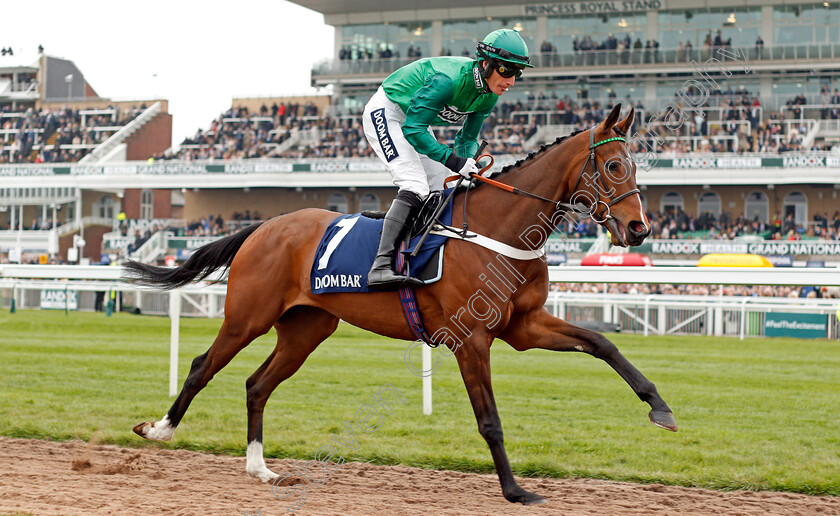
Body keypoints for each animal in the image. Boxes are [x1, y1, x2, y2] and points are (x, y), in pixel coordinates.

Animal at [126, 103, 676, 506]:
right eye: (613, 165)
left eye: (634, 165)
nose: (639, 229)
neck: (500, 228)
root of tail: (264, 226)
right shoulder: (470, 338)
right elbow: (490, 419)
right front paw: (515, 490)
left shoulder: (524, 326)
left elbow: (603, 344)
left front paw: (661, 408)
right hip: (248, 316)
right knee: (203, 366)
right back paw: (159, 429)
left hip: (306, 329)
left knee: (257, 384)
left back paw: (260, 468)